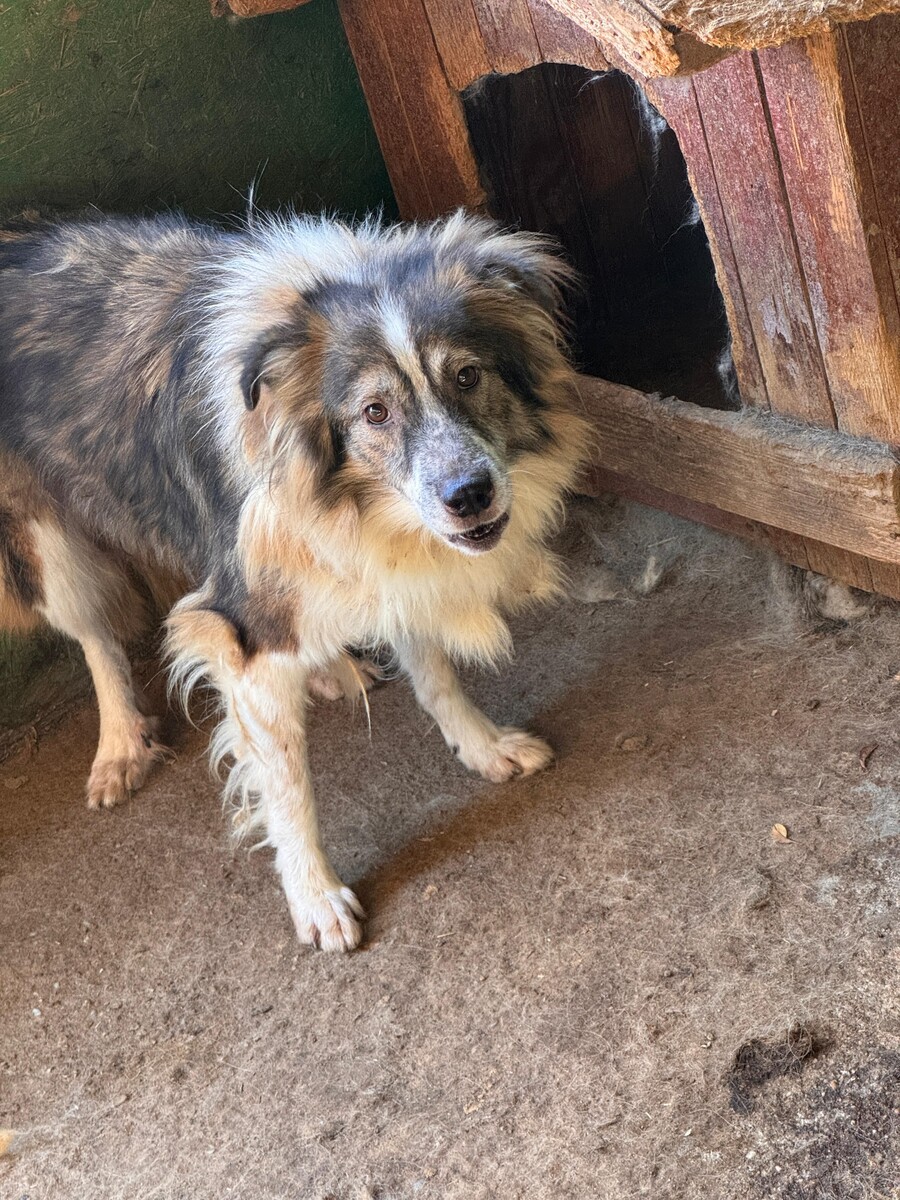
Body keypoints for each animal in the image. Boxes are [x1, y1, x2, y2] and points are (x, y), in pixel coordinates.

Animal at [0, 209, 589, 950]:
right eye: (374, 412)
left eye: (467, 375)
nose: (469, 496)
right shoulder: (241, 625)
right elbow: (286, 785)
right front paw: (315, 896)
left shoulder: (382, 562)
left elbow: (435, 675)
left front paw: (483, 747)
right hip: (48, 549)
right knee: (96, 637)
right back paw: (120, 745)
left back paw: (332, 668)